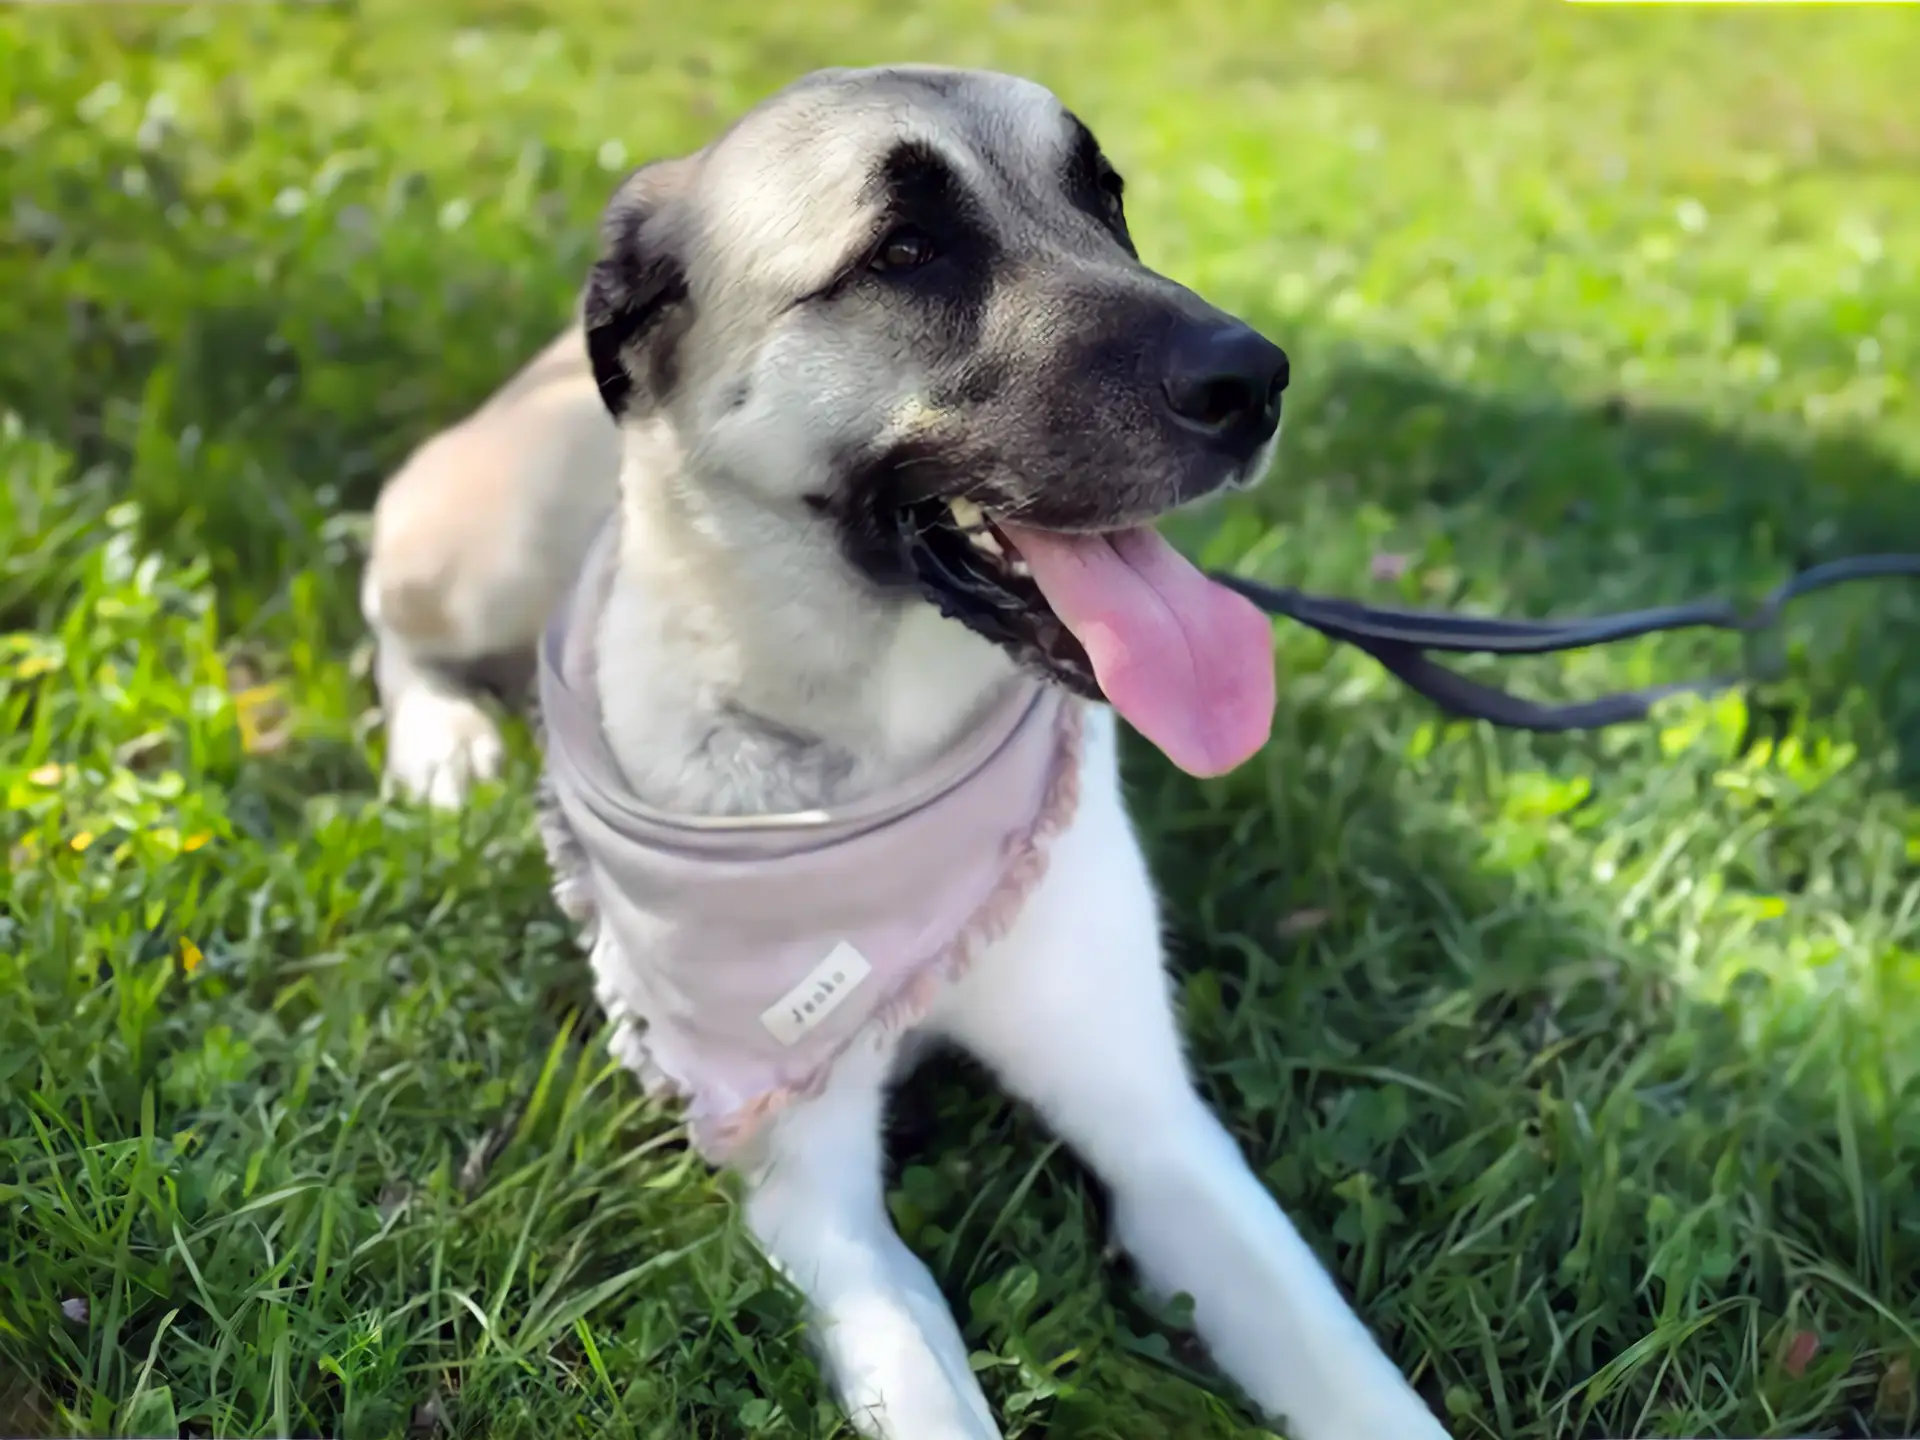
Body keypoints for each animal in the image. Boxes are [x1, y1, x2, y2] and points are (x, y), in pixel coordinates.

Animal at [360, 61, 1443, 1440]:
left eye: (1106, 198)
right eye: (906, 251)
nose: (1255, 381)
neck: (873, 745)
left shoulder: (1158, 1131)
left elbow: (1358, 1381)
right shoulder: (813, 1188)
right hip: (483, 559)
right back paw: (442, 745)